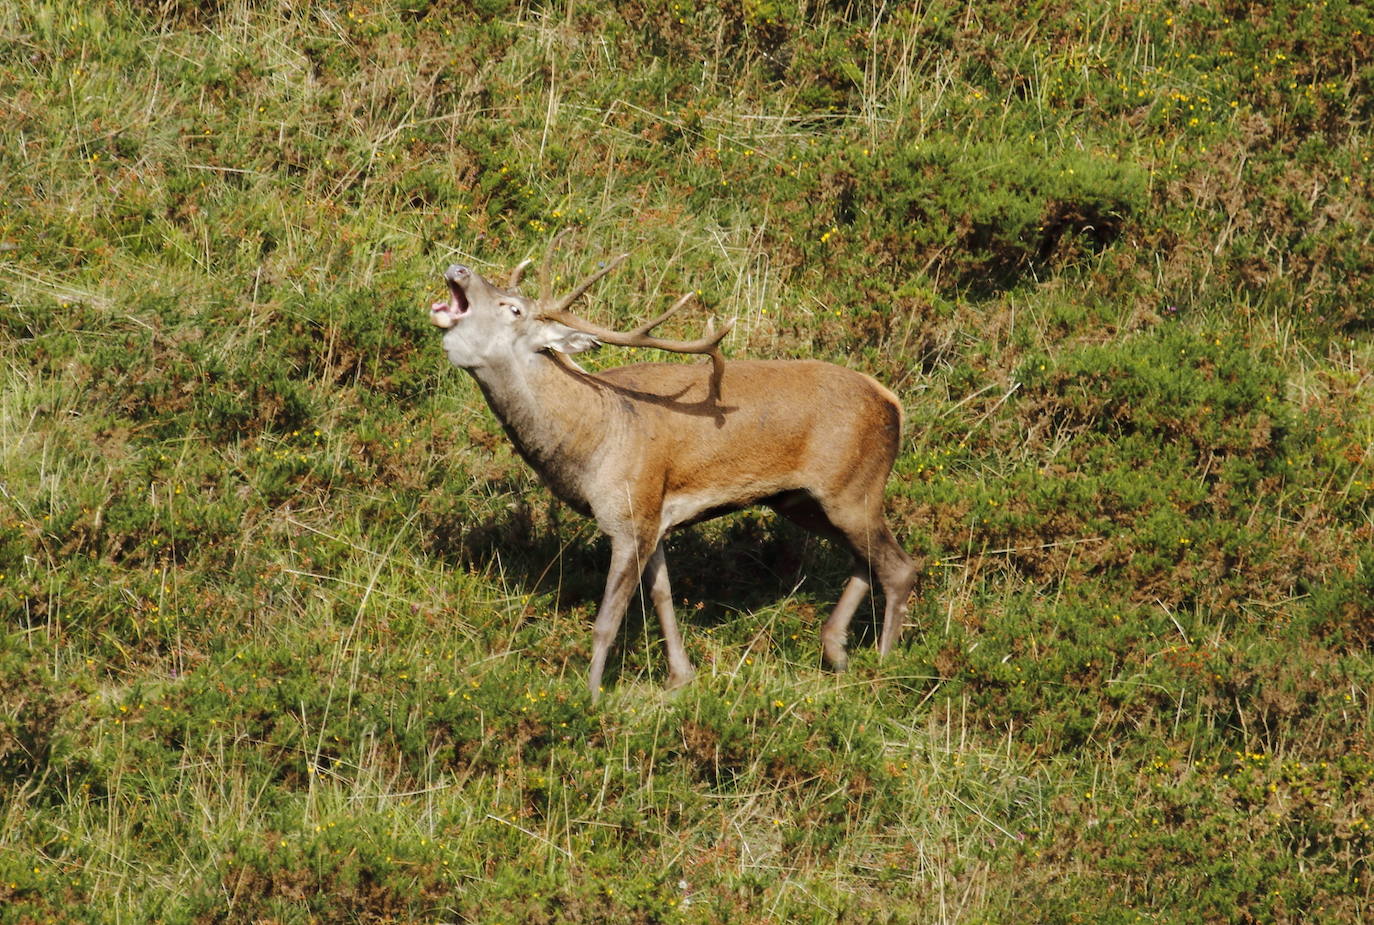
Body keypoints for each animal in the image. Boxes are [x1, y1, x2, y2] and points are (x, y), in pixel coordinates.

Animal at [425, 241, 923, 703]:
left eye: (513, 308)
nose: (459, 268)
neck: (592, 441)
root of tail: (892, 401)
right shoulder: (654, 517)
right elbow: (662, 595)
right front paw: (680, 677)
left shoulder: (630, 514)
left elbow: (608, 619)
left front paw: (592, 699)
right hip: (800, 500)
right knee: (866, 559)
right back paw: (836, 651)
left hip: (852, 486)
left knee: (900, 567)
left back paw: (882, 665)